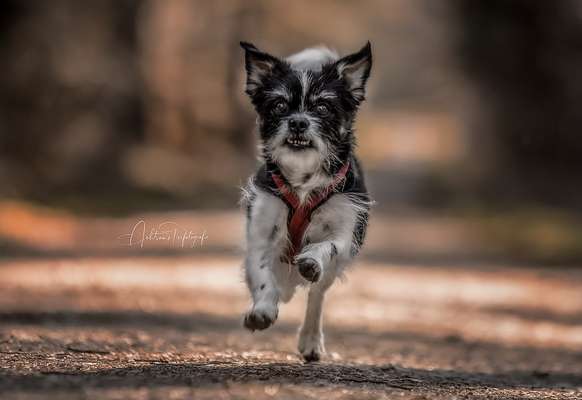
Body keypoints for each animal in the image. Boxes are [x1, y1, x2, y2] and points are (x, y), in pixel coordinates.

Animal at [241, 41, 374, 362]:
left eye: (322, 107)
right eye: (279, 105)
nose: (299, 122)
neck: (303, 179)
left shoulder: (344, 234)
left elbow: (324, 247)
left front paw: (311, 260)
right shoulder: (261, 236)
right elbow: (262, 276)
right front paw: (263, 309)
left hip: (330, 274)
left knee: (316, 296)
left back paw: (311, 340)